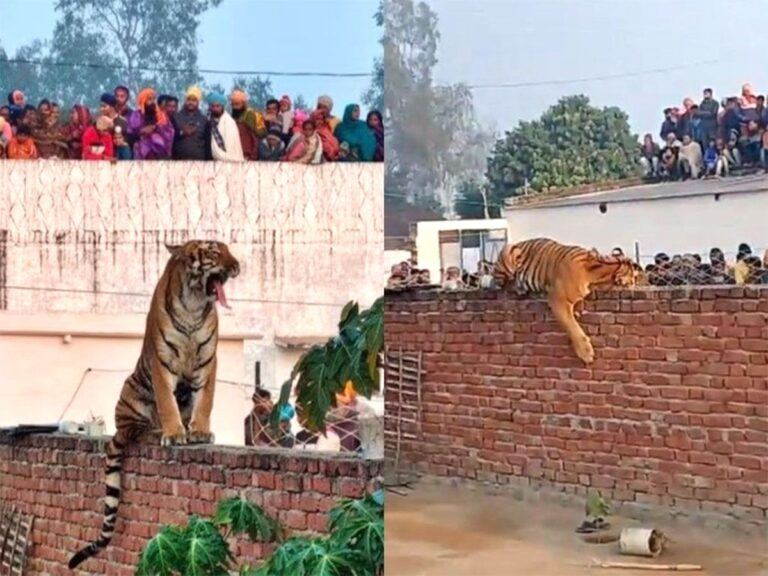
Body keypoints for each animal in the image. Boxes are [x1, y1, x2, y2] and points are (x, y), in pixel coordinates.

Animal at [68, 240, 240, 570]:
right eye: (214, 252)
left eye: (229, 250)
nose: (237, 266)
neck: (194, 305)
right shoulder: (161, 361)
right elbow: (167, 403)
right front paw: (174, 434)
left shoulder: (208, 359)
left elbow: (205, 401)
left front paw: (199, 431)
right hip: (131, 391)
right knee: (136, 430)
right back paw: (157, 431)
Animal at [492, 238, 641, 364]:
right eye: (633, 277)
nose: (635, 283)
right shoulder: (558, 299)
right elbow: (571, 325)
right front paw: (586, 353)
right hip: (509, 253)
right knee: (502, 284)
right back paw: (518, 288)